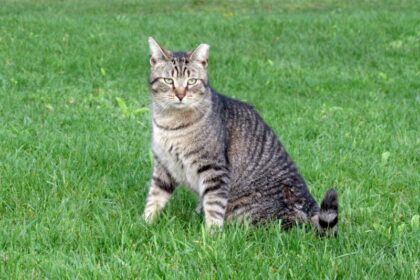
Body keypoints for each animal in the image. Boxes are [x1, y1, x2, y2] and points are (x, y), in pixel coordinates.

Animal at [144, 36, 338, 235]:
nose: (180, 95)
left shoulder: (214, 169)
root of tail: (311, 206)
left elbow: (214, 206)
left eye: (191, 81)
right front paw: (146, 223)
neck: (170, 122)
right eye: (169, 80)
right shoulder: (163, 165)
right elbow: (155, 197)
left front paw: (211, 235)